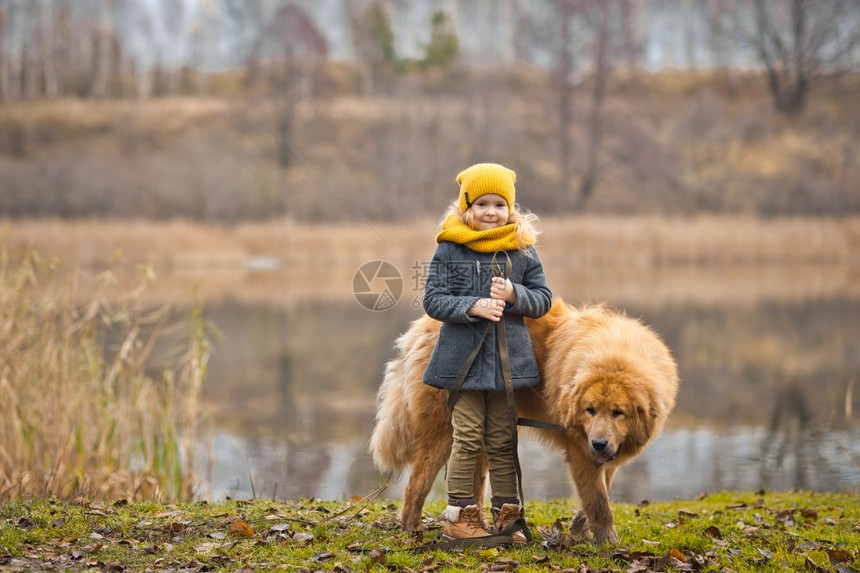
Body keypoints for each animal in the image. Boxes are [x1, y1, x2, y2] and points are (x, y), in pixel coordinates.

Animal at [370, 298, 680, 544]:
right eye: (590, 410)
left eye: (618, 412)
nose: (599, 443)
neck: (614, 354)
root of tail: (423, 327)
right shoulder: (580, 450)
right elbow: (598, 501)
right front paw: (608, 541)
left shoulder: (607, 456)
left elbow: (597, 494)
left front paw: (580, 529)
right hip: (444, 432)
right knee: (416, 484)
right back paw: (413, 528)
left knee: (474, 484)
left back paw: (482, 529)